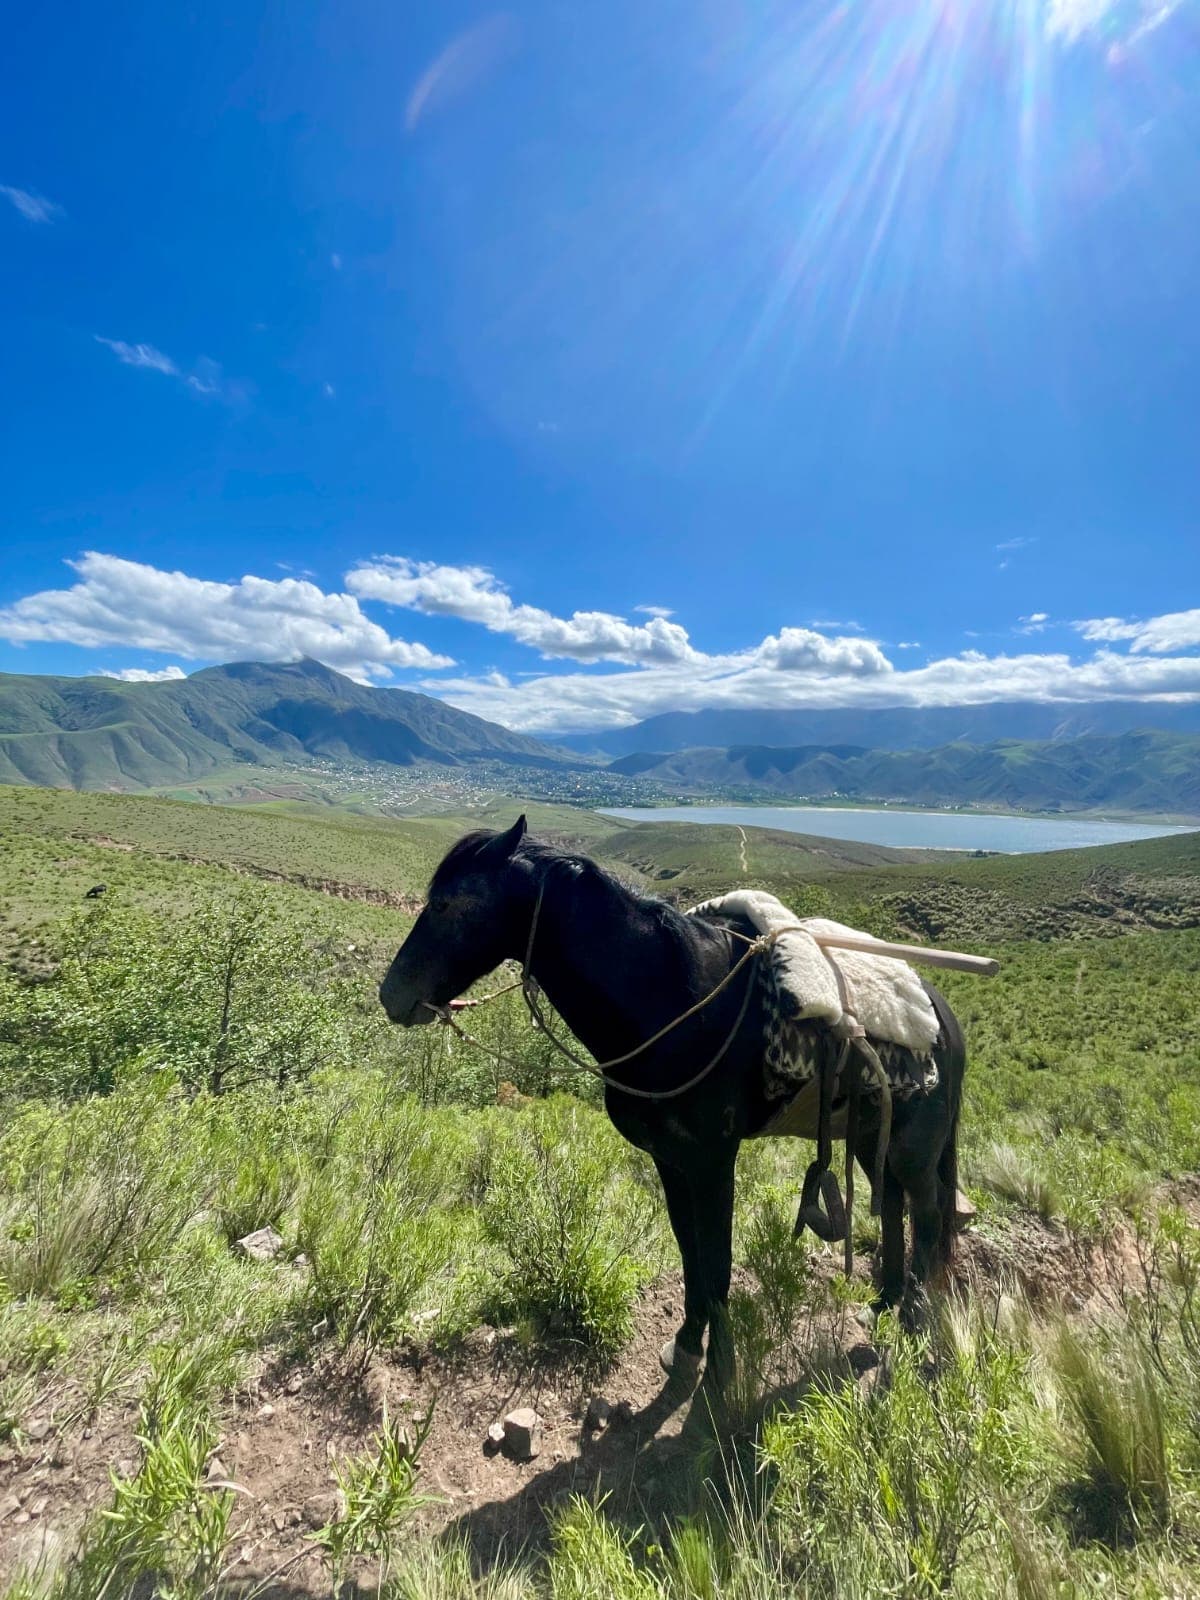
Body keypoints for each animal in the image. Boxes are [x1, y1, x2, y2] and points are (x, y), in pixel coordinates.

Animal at [379, 816, 966, 1390]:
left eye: (448, 903)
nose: (391, 995)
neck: (670, 1004)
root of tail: (943, 1014)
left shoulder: (712, 1162)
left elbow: (719, 1263)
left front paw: (722, 1376)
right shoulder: (670, 1160)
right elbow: (690, 1254)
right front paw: (687, 1344)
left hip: (914, 1148)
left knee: (927, 1213)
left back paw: (913, 1318)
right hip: (870, 1137)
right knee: (893, 1205)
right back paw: (882, 1304)